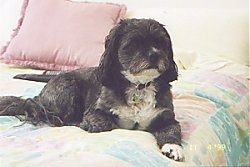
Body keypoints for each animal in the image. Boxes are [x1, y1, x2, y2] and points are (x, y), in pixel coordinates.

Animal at [0, 18, 185, 161]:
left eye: (161, 44)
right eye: (133, 44)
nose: (155, 54)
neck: (139, 86)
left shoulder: (166, 117)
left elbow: (172, 130)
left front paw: (173, 148)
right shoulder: (94, 111)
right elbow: (105, 124)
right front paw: (89, 125)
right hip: (68, 89)